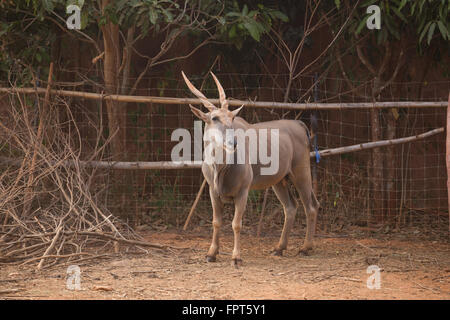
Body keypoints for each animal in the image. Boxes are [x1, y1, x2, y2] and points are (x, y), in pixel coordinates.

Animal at [182, 70, 320, 268]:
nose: (233, 142)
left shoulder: (243, 192)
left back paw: (305, 248)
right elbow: (216, 222)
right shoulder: (212, 192)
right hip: (280, 181)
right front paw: (211, 254)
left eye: (232, 117)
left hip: (301, 173)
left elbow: (236, 223)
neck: (221, 168)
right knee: (290, 207)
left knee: (311, 206)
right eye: (214, 118)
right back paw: (279, 248)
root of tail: (300, 125)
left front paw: (236, 257)